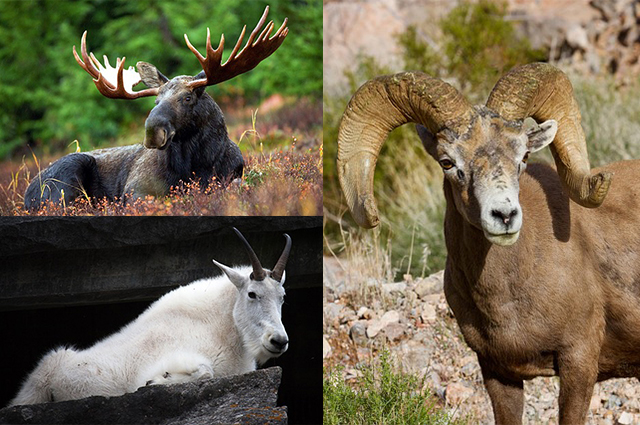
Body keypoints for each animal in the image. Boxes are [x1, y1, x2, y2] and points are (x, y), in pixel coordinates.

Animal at [9, 227, 290, 406]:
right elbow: (205, 371)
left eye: (283, 297)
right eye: (252, 294)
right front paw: (155, 381)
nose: (278, 341)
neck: (224, 331)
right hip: (38, 384)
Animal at [24, 6, 288, 211]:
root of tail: (26, 195)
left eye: (187, 98)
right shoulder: (135, 190)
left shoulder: (232, 176)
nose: (153, 131)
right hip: (66, 176)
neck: (197, 164)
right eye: (156, 101)